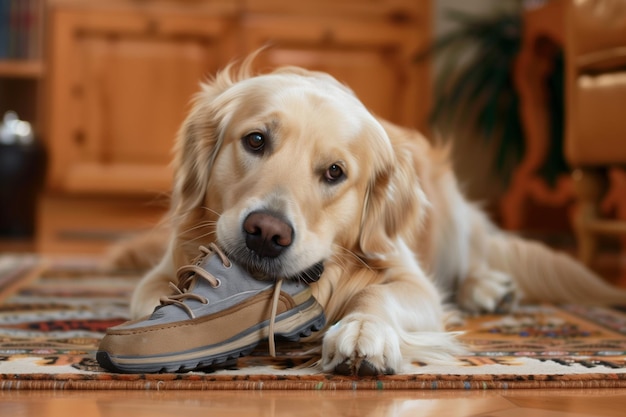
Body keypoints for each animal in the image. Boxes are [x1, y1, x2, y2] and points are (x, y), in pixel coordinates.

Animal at [114, 54, 624, 374]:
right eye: (255, 140)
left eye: (335, 172)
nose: (265, 233)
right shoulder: (160, 276)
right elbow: (159, 300)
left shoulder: (411, 279)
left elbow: (378, 294)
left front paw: (363, 331)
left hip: (452, 220)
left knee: (469, 262)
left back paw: (487, 288)